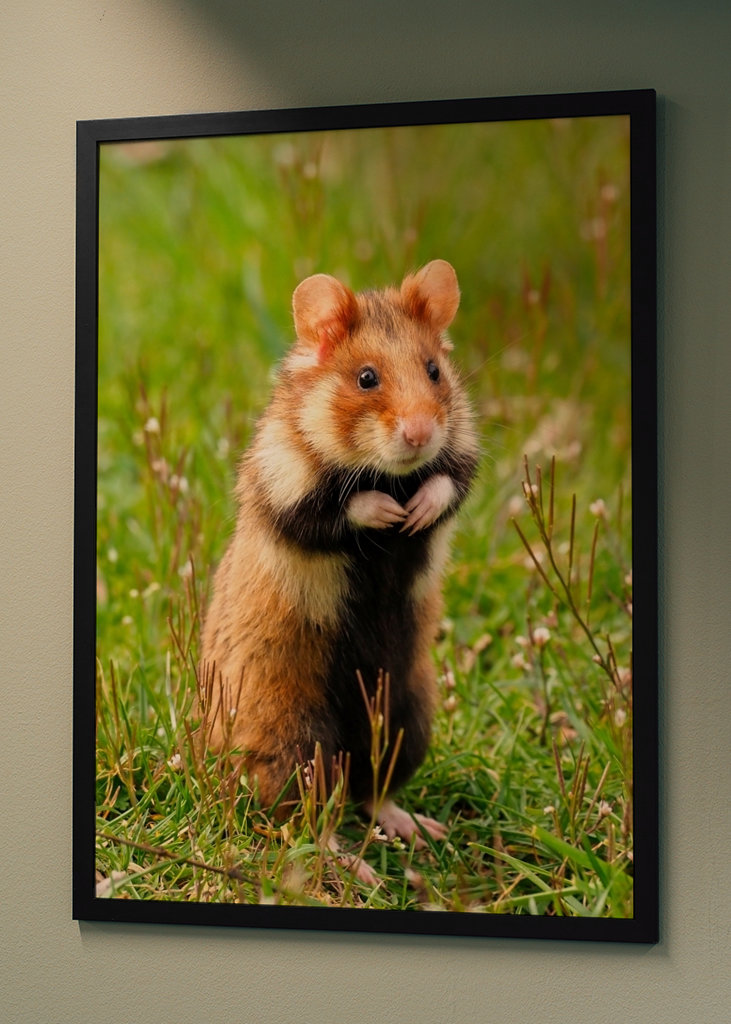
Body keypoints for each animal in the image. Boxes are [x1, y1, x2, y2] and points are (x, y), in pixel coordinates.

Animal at [199, 259, 478, 852]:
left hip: (407, 713)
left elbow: (449, 483)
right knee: (309, 819)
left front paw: (414, 513)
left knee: (371, 792)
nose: (420, 433)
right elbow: (338, 508)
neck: (389, 472)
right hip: (294, 741)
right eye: (366, 378)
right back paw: (355, 861)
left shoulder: (463, 452)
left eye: (434, 371)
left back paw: (421, 830)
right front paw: (389, 512)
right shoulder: (281, 487)